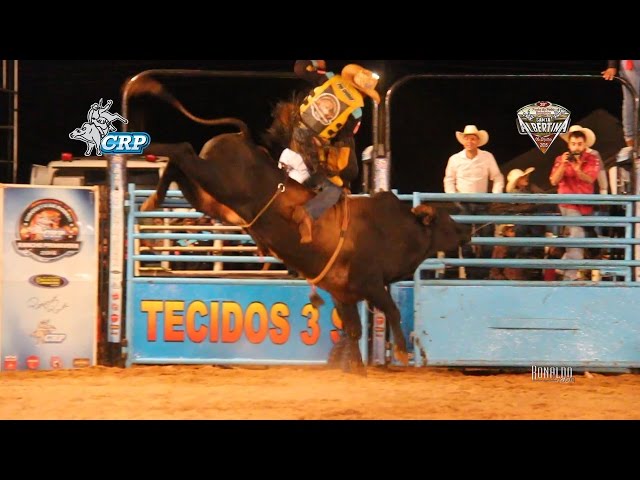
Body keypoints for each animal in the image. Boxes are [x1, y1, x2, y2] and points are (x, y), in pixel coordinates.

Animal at [132, 77, 468, 376]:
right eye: (447, 221)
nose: (466, 232)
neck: (398, 231)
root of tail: (244, 139)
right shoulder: (372, 284)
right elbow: (392, 312)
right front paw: (400, 351)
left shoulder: (344, 293)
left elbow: (353, 331)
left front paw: (353, 370)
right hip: (215, 179)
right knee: (182, 149)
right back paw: (152, 173)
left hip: (211, 198)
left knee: (180, 167)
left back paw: (153, 200)